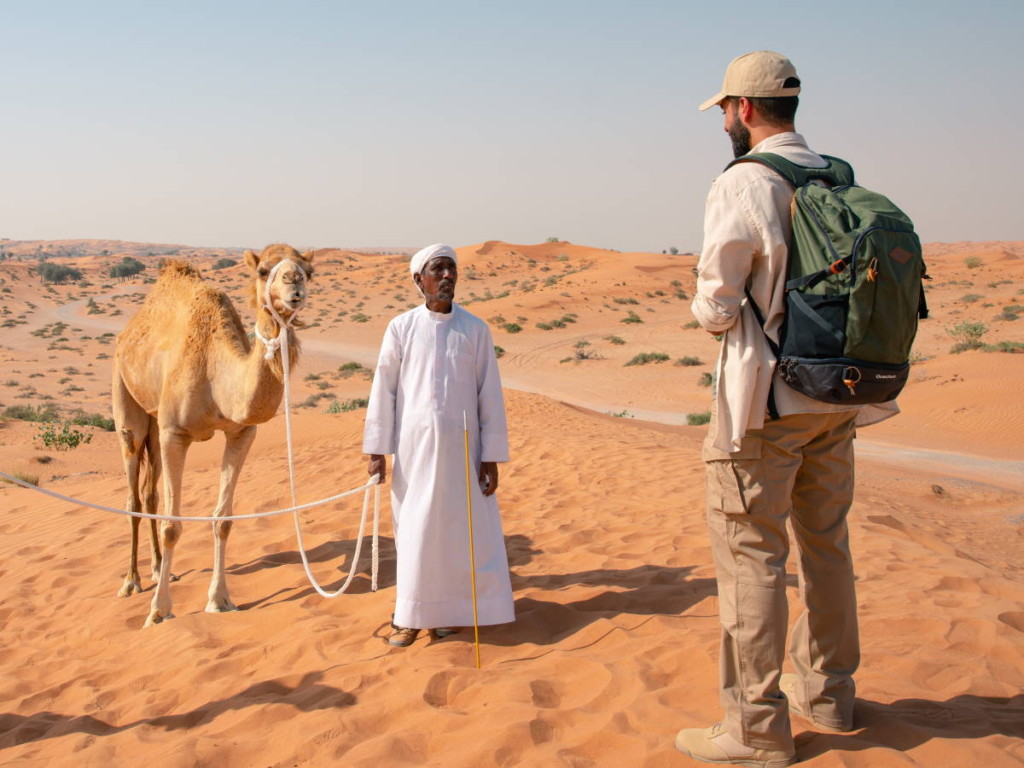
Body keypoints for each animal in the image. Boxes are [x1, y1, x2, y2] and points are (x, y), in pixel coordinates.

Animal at [111, 243, 311, 626]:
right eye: (263, 270)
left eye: (310, 270)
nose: (294, 283)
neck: (216, 376)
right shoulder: (175, 433)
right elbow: (172, 525)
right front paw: (159, 611)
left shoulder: (242, 432)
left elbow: (223, 520)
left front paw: (219, 600)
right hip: (126, 399)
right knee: (133, 492)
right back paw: (132, 581)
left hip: (155, 422)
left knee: (150, 494)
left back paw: (159, 569)